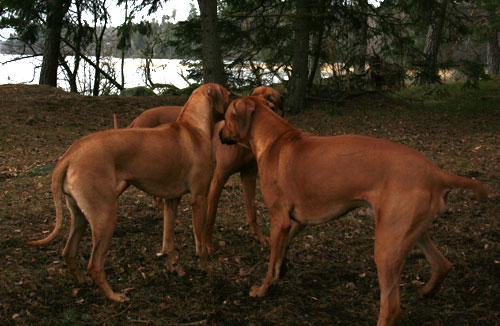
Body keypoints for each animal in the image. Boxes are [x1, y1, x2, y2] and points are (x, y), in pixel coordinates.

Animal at [26, 83, 231, 302]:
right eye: (229, 95)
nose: (236, 100)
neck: (193, 127)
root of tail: (70, 154)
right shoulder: (199, 198)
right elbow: (200, 244)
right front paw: (207, 269)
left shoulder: (171, 200)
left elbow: (168, 241)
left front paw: (173, 267)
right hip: (105, 215)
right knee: (95, 264)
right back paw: (114, 296)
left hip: (81, 215)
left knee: (68, 252)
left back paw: (82, 281)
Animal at [220, 96, 488, 326]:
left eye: (226, 117)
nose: (220, 132)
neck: (275, 139)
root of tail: (435, 172)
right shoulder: (296, 221)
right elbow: (281, 251)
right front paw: (280, 272)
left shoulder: (279, 220)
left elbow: (271, 261)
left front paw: (263, 288)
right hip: (409, 230)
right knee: (443, 264)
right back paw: (426, 291)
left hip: (386, 247)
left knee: (391, 308)